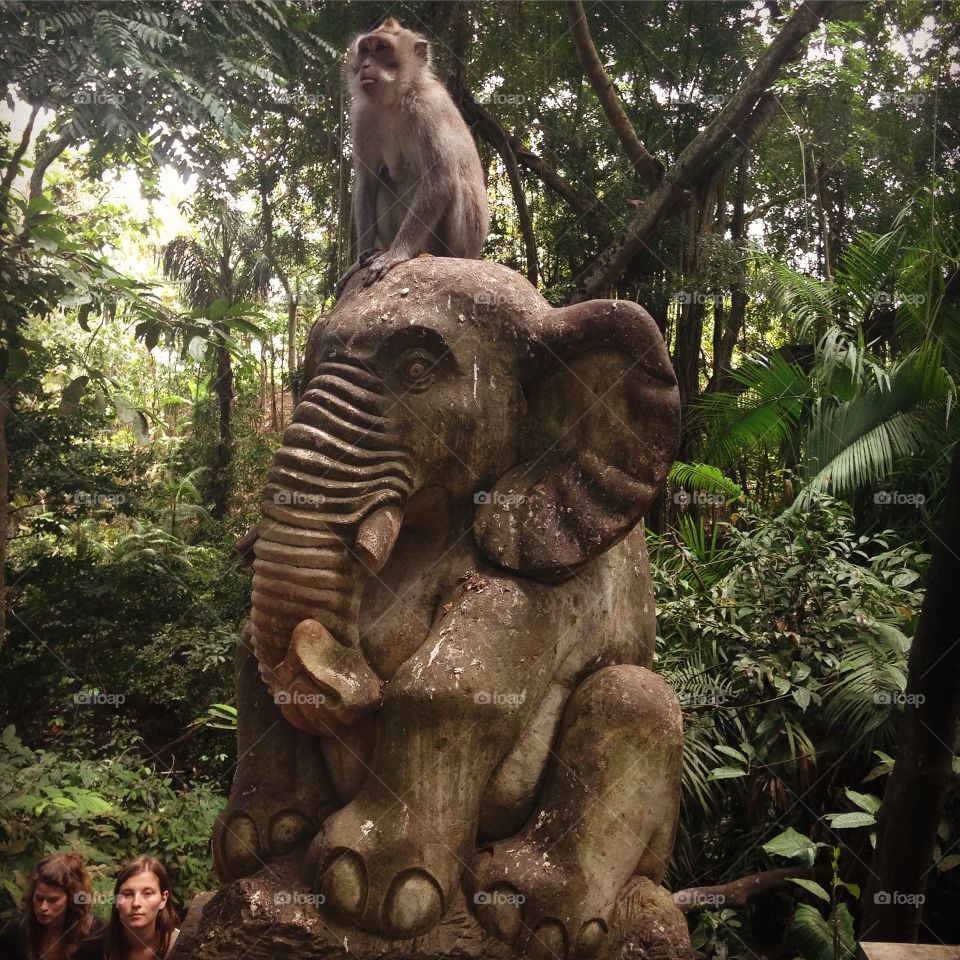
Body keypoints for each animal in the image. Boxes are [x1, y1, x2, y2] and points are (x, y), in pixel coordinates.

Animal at [335, 18, 489, 296]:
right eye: (366, 50)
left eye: (381, 48)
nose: (365, 65)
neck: (394, 100)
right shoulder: (363, 116)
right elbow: (367, 181)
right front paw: (359, 260)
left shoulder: (430, 108)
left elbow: (441, 179)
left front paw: (396, 253)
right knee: (385, 180)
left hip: (460, 240)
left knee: (454, 185)